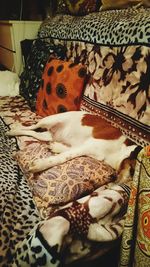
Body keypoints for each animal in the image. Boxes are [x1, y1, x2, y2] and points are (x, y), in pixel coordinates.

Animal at [7, 110, 139, 181]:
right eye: (133, 171)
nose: (113, 178)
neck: (120, 149)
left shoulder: (85, 149)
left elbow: (66, 150)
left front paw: (56, 147)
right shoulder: (87, 146)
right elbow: (62, 157)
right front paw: (41, 165)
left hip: (45, 135)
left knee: (32, 132)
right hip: (48, 120)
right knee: (31, 126)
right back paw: (14, 129)